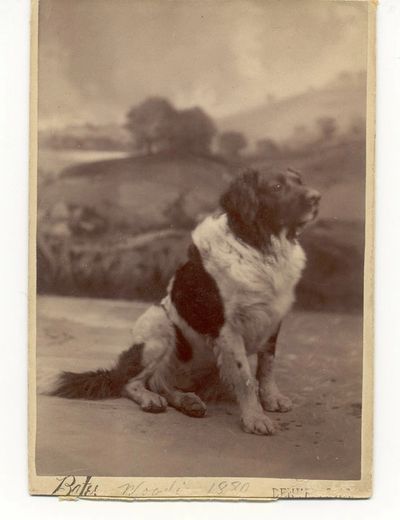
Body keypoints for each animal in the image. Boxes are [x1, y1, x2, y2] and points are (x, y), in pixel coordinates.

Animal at [51, 168, 320, 434]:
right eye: (276, 187)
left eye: (299, 182)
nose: (316, 198)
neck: (260, 248)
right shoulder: (227, 327)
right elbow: (244, 377)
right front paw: (255, 418)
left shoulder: (273, 319)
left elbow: (266, 367)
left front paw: (272, 399)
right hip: (159, 326)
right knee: (133, 382)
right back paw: (153, 399)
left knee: (162, 383)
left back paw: (188, 401)